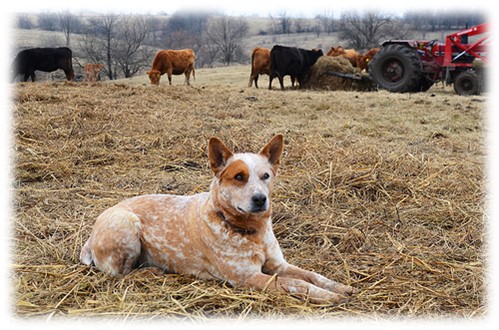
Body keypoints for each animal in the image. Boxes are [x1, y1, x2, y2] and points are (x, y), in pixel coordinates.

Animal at [80, 135, 356, 304]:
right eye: (239, 177)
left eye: (266, 176)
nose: (260, 199)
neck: (251, 232)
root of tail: (90, 238)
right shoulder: (248, 277)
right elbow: (297, 283)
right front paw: (328, 296)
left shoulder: (278, 264)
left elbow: (311, 275)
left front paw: (339, 286)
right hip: (126, 225)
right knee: (120, 274)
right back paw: (151, 272)